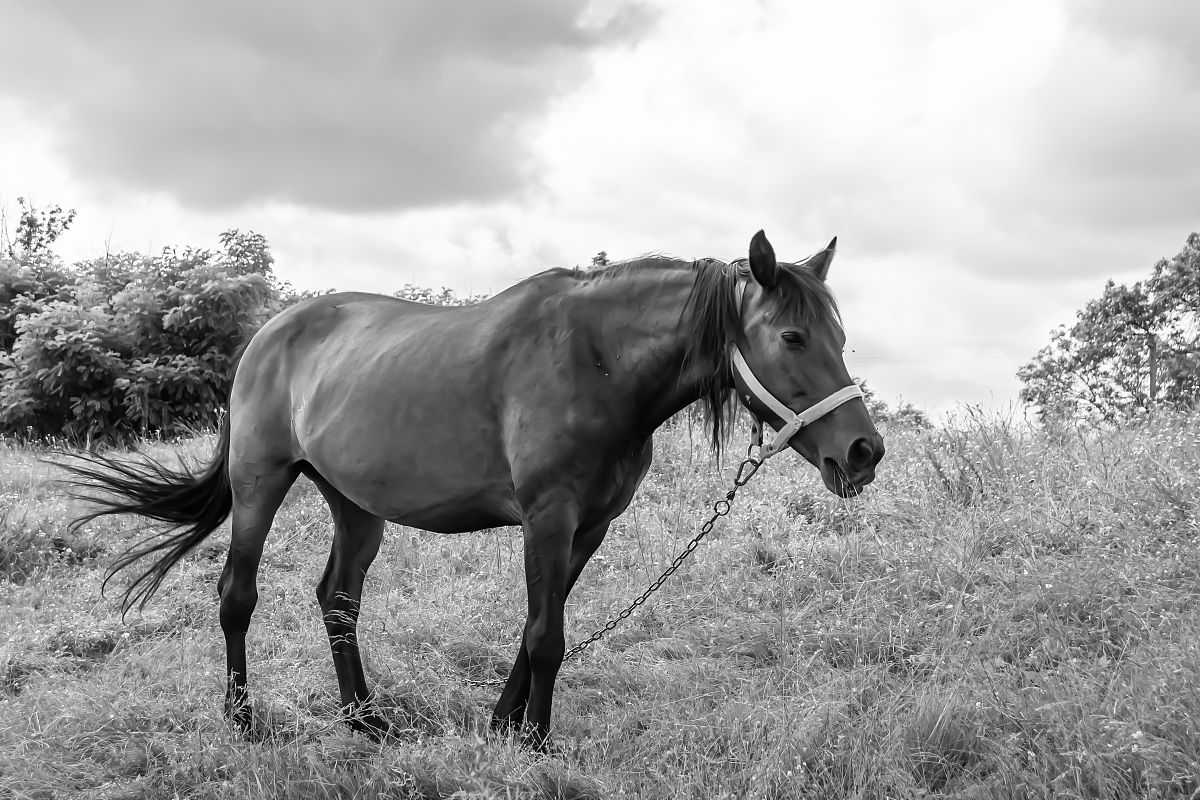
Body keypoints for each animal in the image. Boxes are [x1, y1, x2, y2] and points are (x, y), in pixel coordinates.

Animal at [63, 230, 884, 748]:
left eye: (841, 337)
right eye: (792, 337)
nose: (864, 451)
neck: (597, 360)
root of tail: (267, 335)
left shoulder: (587, 527)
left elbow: (536, 629)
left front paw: (503, 725)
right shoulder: (548, 518)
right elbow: (548, 635)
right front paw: (538, 744)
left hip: (355, 505)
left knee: (337, 599)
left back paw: (364, 718)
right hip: (259, 484)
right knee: (237, 596)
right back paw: (242, 721)